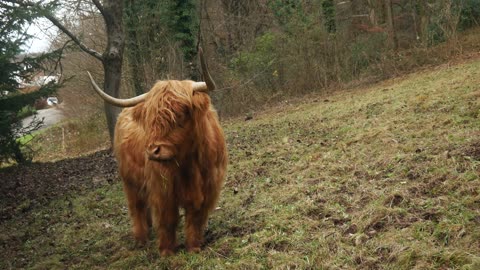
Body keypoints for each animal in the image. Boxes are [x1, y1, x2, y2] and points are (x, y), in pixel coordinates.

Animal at [86, 50, 227, 255]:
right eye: (150, 120)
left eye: (180, 115)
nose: (153, 151)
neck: (190, 164)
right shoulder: (162, 190)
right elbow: (167, 220)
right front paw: (167, 251)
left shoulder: (209, 188)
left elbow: (195, 219)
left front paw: (194, 247)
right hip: (129, 182)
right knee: (136, 208)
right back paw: (141, 239)